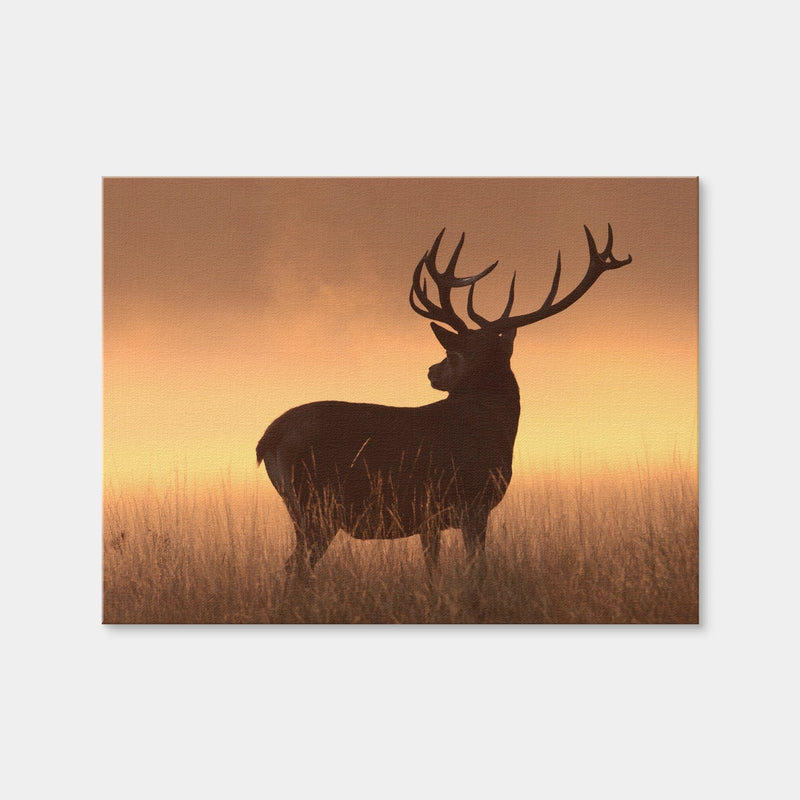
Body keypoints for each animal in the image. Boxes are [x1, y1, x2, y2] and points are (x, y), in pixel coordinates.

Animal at [257, 225, 631, 580]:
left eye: (451, 356)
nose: (431, 372)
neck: (492, 428)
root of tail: (268, 439)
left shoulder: (430, 518)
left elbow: (433, 569)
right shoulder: (473, 503)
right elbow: (476, 567)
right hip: (316, 504)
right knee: (295, 567)